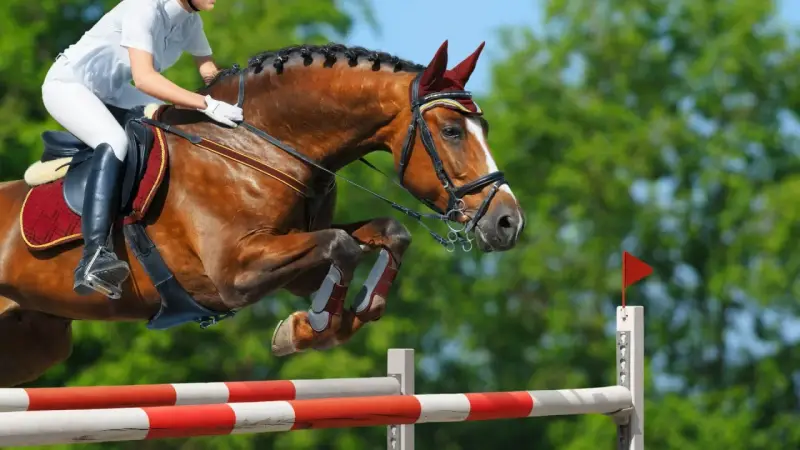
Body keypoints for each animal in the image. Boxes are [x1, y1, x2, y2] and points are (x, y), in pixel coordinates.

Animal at [0, 40, 524, 387]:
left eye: (483, 127)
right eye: (452, 130)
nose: (508, 223)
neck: (258, 146)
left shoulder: (292, 259)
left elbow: (384, 235)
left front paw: (322, 323)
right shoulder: (234, 274)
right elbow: (343, 245)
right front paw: (310, 328)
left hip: (35, 342)